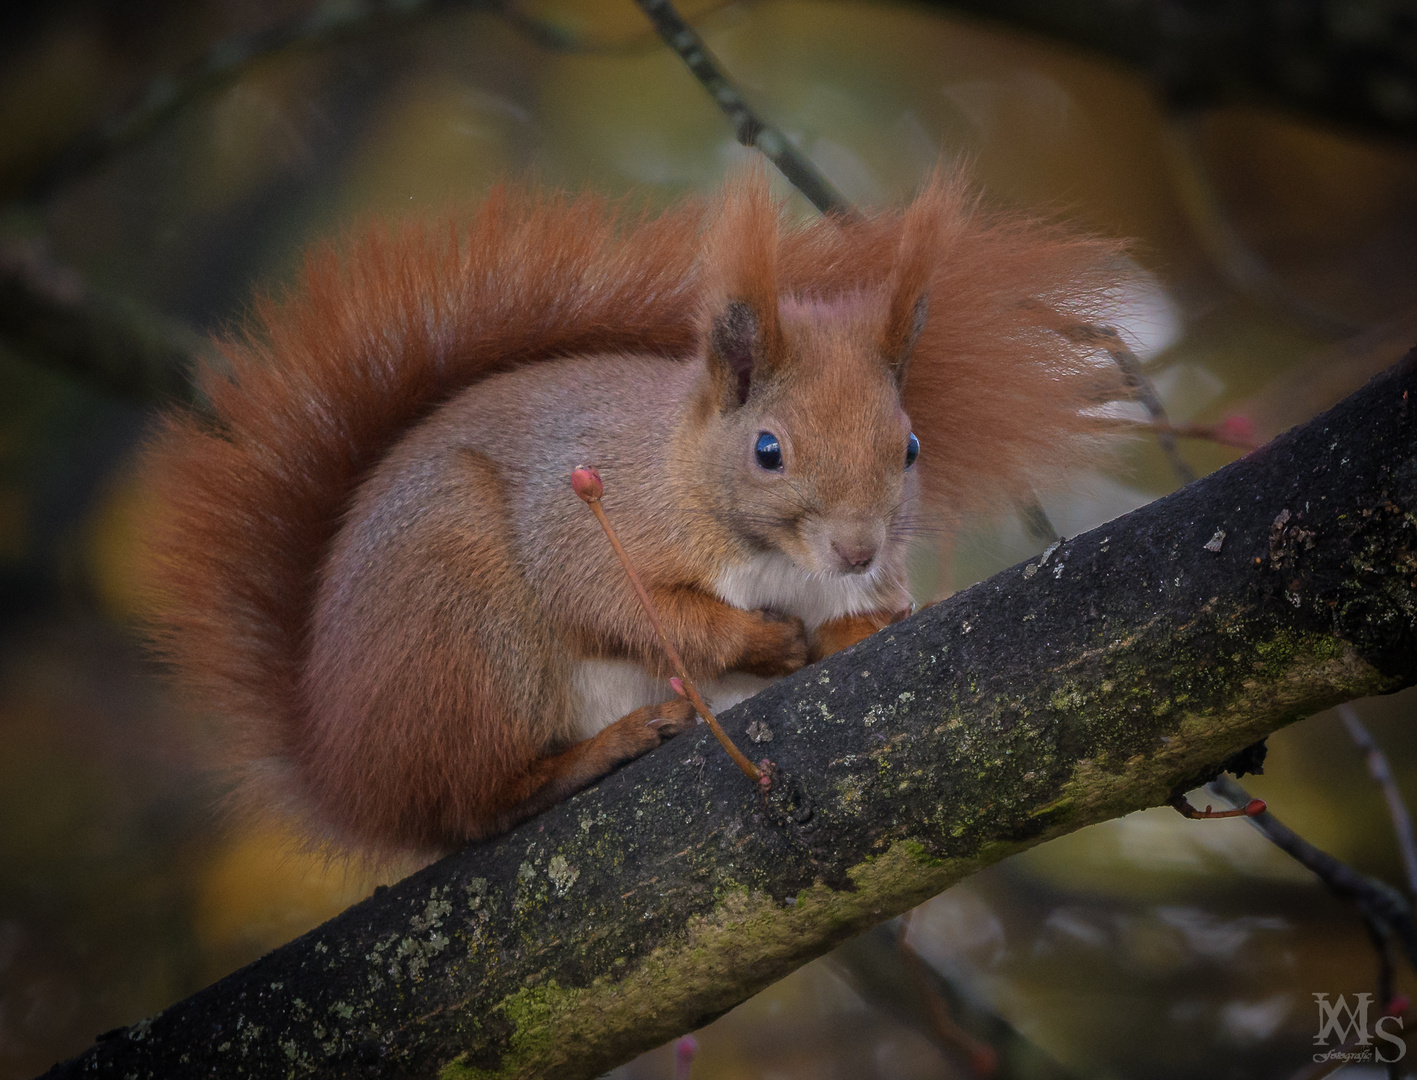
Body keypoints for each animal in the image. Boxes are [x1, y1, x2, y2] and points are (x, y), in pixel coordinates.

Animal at [140, 168, 1116, 856]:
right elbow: (617, 603)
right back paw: (606, 746)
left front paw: (863, 626)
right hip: (462, 622)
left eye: (909, 448)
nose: (856, 550)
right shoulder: (592, 524)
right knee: (477, 802)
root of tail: (340, 763)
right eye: (768, 450)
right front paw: (755, 640)